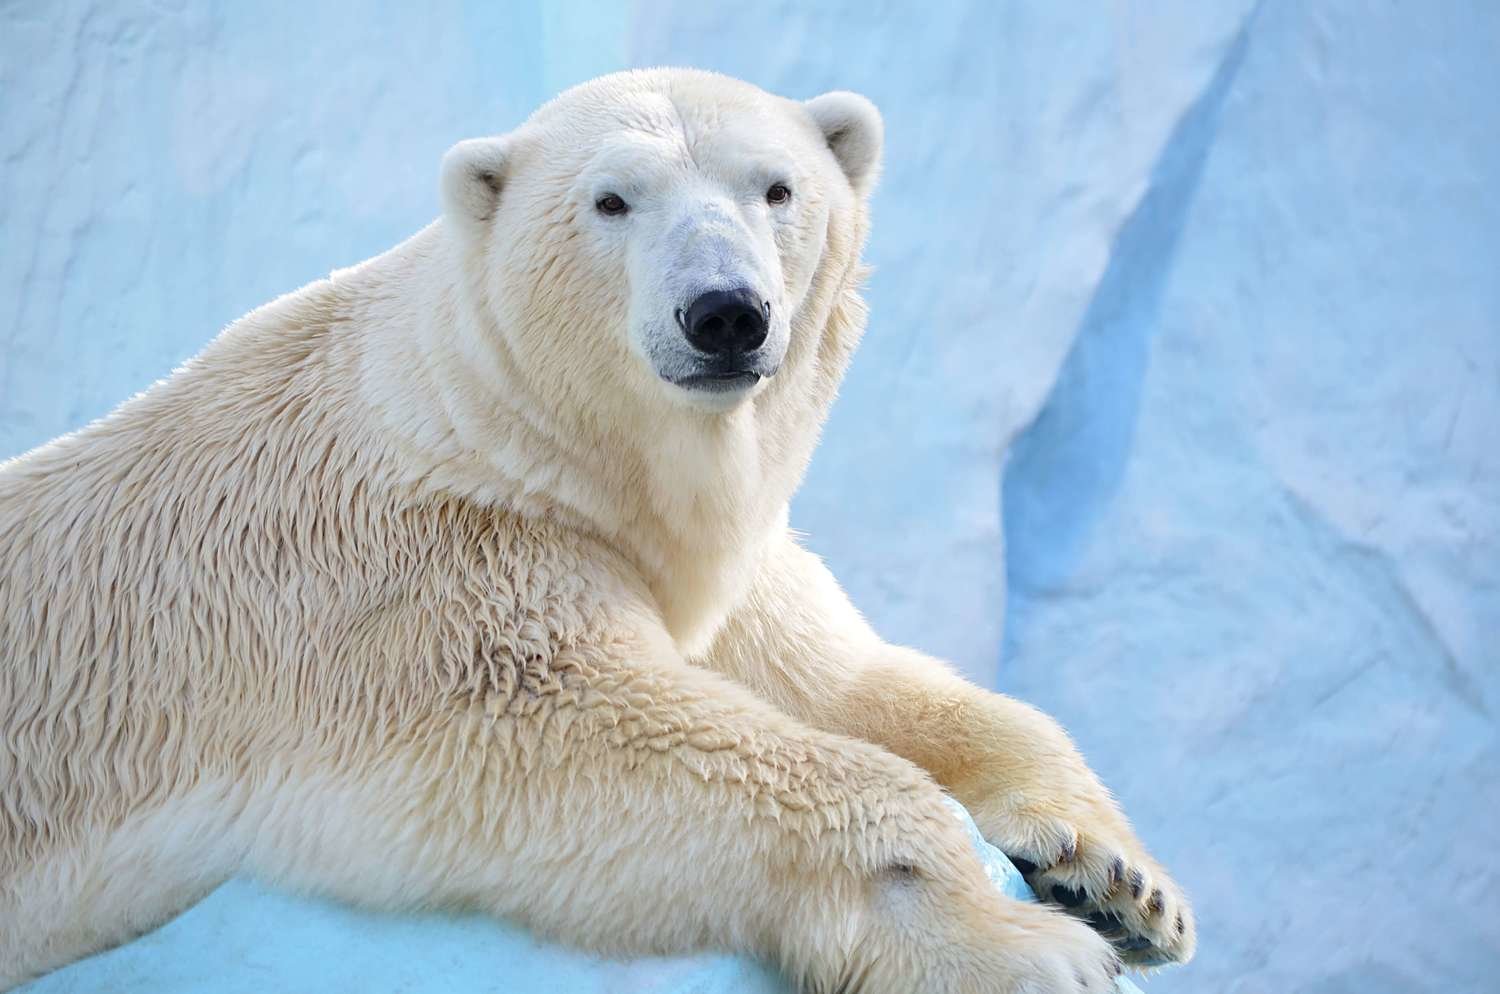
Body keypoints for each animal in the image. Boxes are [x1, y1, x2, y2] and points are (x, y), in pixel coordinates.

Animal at [0, 69, 1193, 992]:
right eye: (613, 199)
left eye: (777, 186)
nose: (725, 313)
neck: (513, 440)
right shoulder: (420, 581)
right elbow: (595, 730)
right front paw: (1030, 948)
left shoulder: (714, 573)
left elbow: (847, 679)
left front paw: (1121, 884)